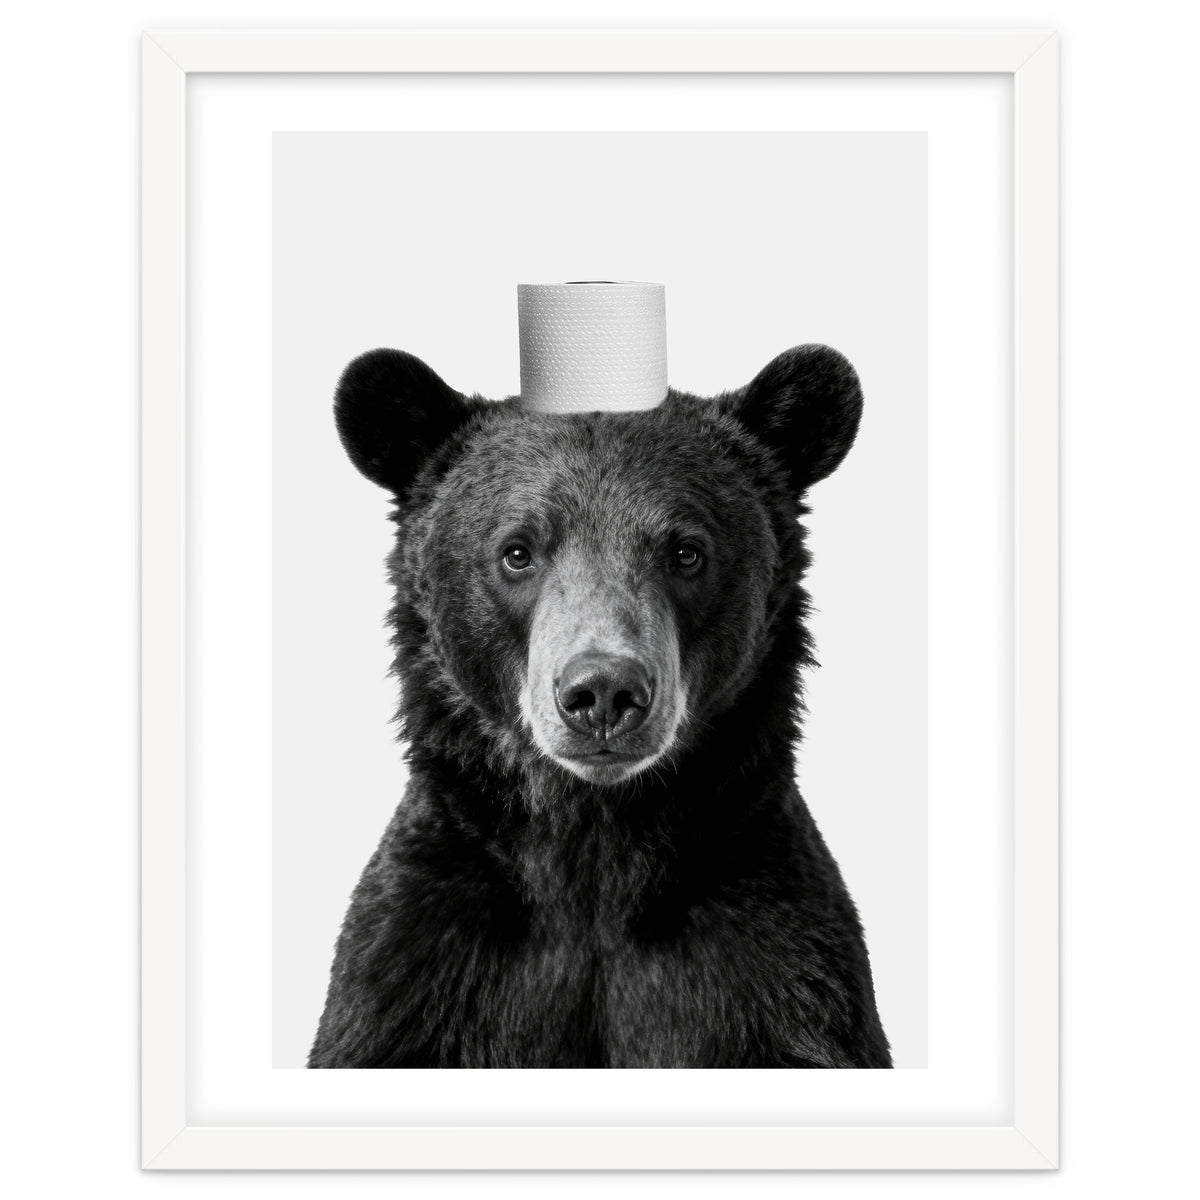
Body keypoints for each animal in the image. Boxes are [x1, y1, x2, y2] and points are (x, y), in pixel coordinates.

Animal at [308, 343, 892, 1069]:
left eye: (686, 551)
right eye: (517, 552)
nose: (604, 693)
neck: (595, 845)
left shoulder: (777, 967)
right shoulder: (419, 967)